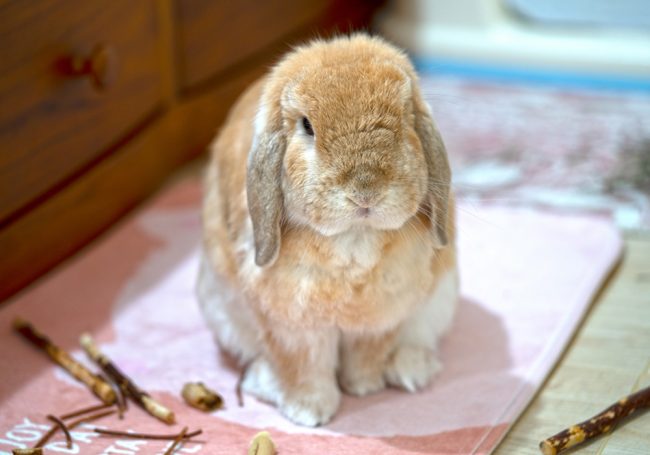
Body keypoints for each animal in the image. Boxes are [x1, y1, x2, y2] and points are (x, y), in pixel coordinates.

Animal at [196, 34, 458, 427]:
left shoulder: (379, 321)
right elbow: (304, 368)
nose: (365, 191)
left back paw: (410, 370)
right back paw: (263, 380)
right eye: (307, 125)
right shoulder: (293, 329)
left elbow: (366, 355)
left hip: (441, 300)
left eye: (403, 117)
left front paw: (364, 387)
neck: (354, 237)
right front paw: (310, 412)